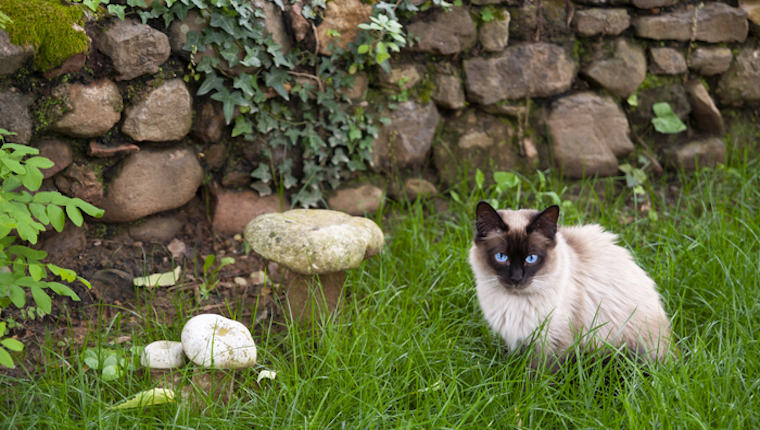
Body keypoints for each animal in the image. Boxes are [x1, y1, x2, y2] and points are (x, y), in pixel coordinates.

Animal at [470, 201, 672, 366]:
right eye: (501, 257)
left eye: (531, 258)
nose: (516, 278)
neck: (514, 302)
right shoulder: (516, 339)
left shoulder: (550, 342)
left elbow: (536, 379)